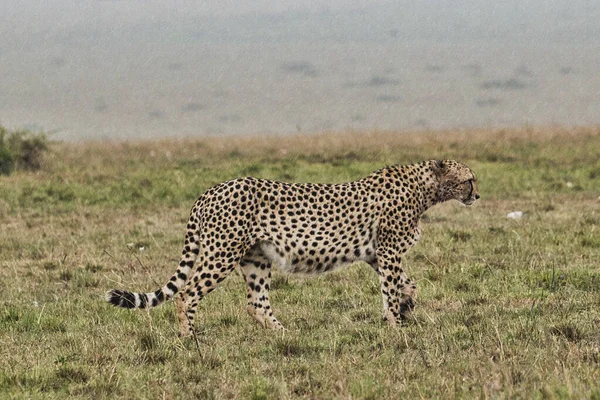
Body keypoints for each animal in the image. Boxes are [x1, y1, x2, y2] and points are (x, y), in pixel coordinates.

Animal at [104, 159, 478, 334]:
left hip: (255, 259)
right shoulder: (388, 252)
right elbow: (391, 288)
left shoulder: (376, 254)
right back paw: (189, 339)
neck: (427, 188)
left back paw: (285, 335)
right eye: (469, 179)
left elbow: (407, 284)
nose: (477, 195)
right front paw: (396, 325)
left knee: (256, 304)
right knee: (187, 294)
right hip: (221, 255)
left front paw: (407, 305)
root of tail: (210, 190)